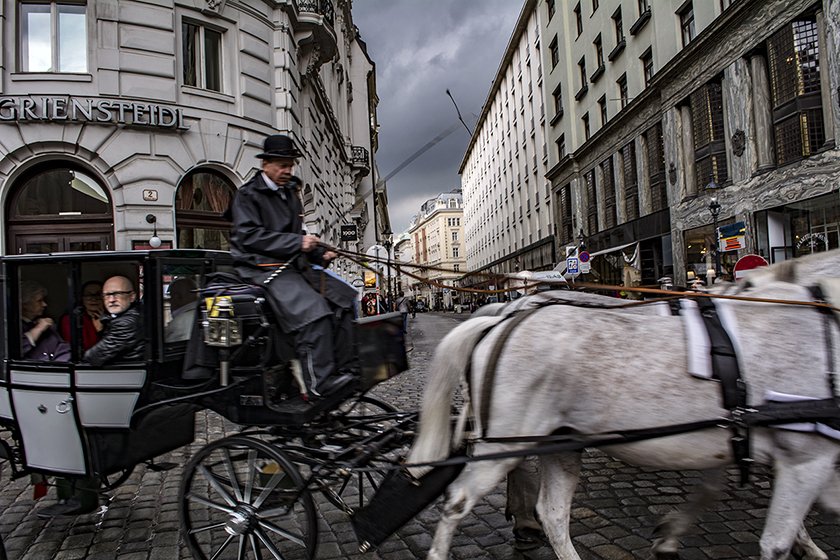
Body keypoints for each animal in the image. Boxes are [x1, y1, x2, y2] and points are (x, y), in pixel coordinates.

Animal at [406, 250, 840, 560]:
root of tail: (501, 323)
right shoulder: (804, 456)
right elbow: (776, 540)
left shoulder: (737, 440)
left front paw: (669, 536)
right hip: (504, 443)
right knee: (459, 502)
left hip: (558, 442)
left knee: (553, 513)